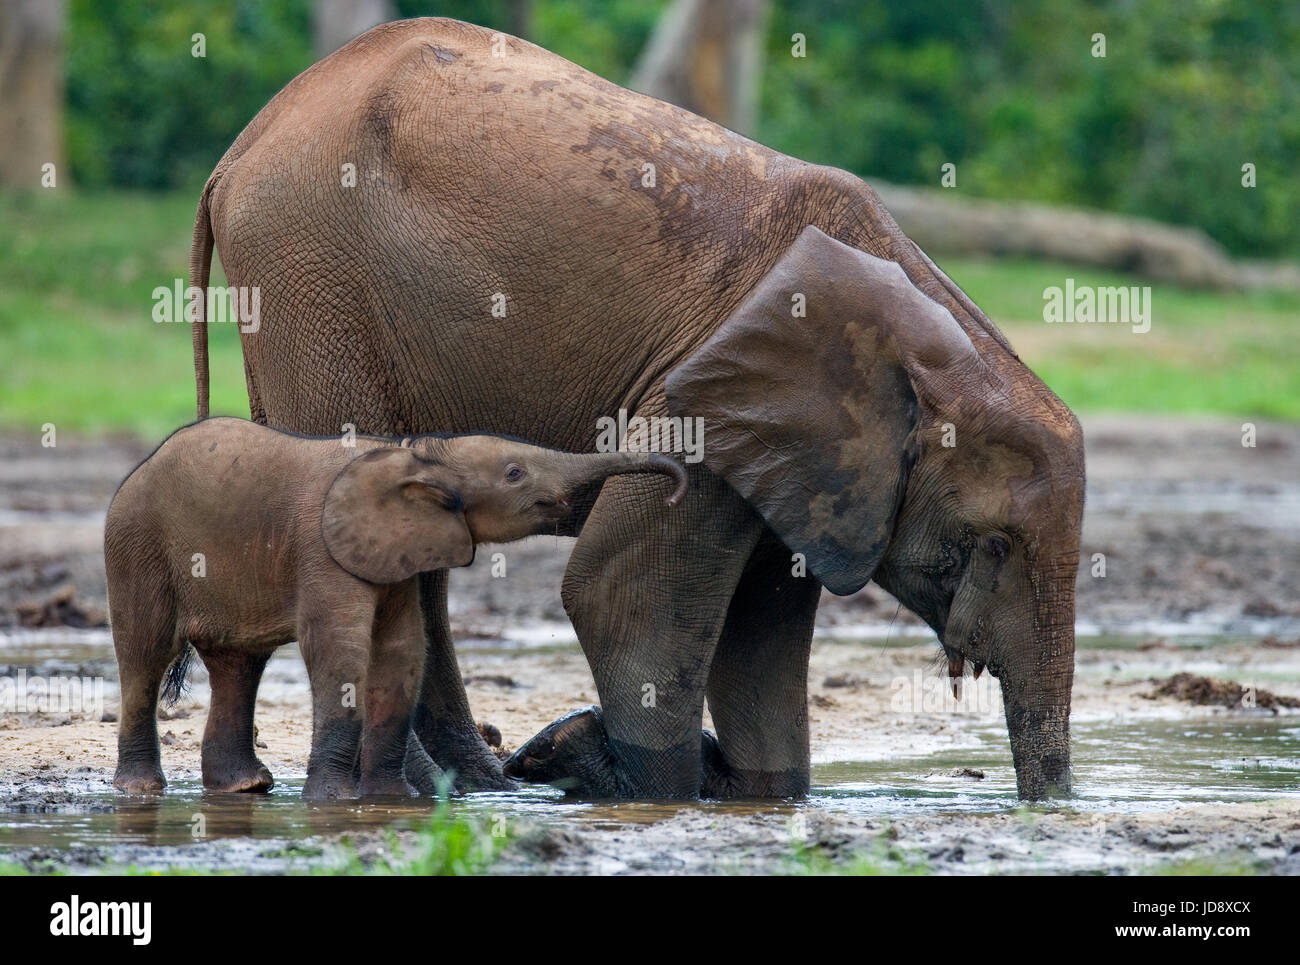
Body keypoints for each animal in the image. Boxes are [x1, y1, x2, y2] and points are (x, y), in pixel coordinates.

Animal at [105, 417, 686, 798]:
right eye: (515, 473)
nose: (677, 491)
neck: (415, 454)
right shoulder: (324, 550)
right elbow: (339, 649)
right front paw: (334, 803)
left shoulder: (397, 554)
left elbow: (402, 650)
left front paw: (391, 802)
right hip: (136, 544)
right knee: (146, 654)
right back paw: (142, 791)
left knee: (237, 665)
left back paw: (244, 789)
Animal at [189, 18, 1085, 800]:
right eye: (994, 543)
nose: (1046, 807)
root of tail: (236, 152)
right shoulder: (699, 402)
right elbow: (625, 598)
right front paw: (631, 781)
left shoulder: (795, 456)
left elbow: (762, 626)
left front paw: (748, 791)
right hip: (316, 286)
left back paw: (472, 784)